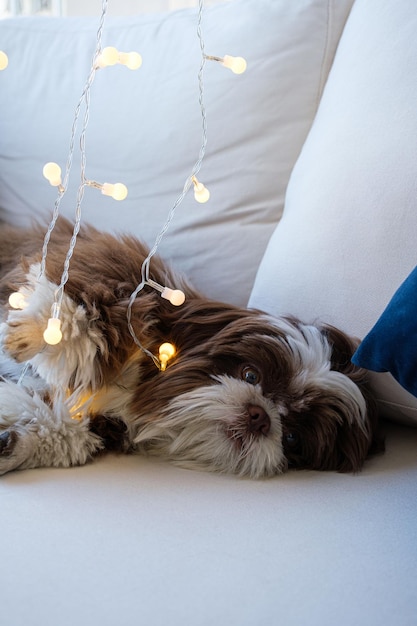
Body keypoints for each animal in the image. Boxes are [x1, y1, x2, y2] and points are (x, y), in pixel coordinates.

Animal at [0, 217, 380, 476]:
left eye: (292, 439)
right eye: (250, 375)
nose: (259, 417)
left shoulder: (96, 420)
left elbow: (61, 427)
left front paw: (15, 445)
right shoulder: (116, 272)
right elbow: (85, 309)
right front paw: (33, 334)